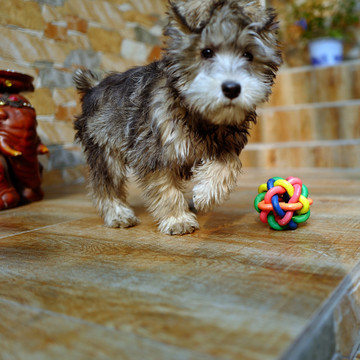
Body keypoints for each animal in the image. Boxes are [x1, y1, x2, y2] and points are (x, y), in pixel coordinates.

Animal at [73, 0, 282, 235]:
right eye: (206, 52)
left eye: (248, 55)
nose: (231, 88)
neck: (199, 114)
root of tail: (93, 86)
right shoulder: (155, 153)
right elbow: (166, 189)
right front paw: (177, 219)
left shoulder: (226, 143)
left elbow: (229, 164)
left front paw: (205, 194)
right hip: (105, 149)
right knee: (105, 184)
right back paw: (118, 214)